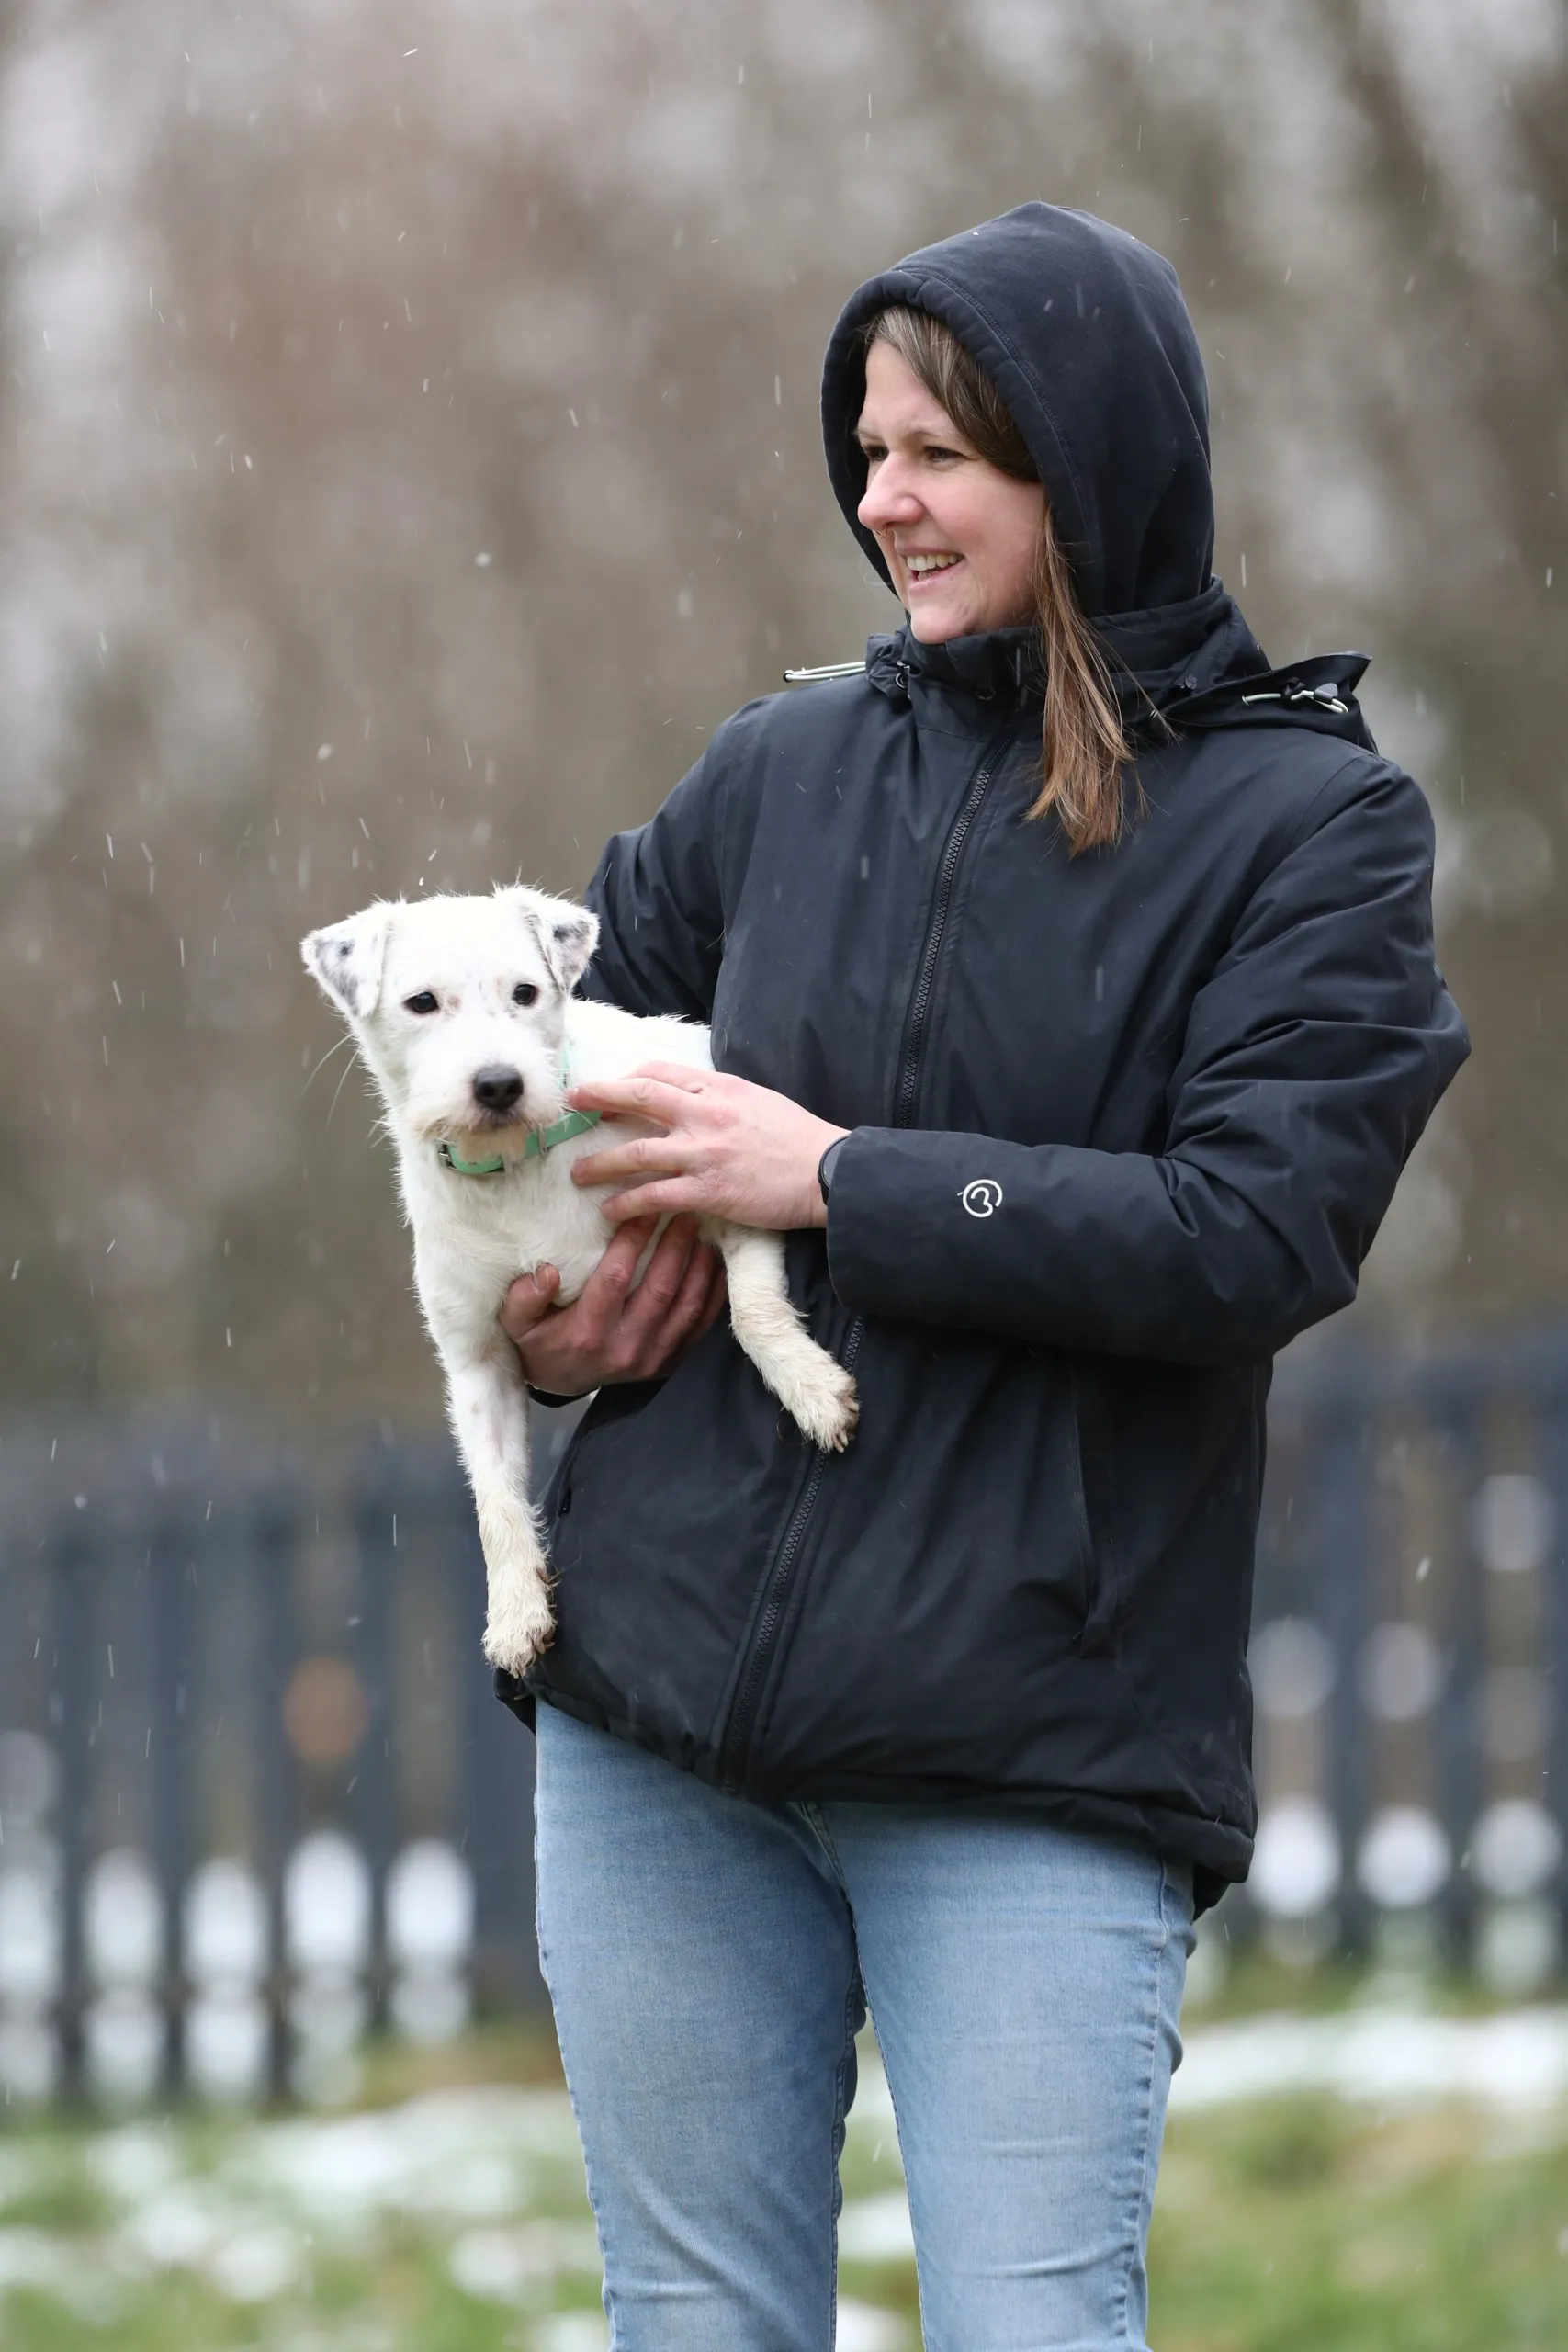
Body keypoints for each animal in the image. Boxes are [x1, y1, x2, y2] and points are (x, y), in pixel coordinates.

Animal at [299, 884, 851, 1674]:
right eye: (421, 1003)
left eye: (526, 993)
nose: (499, 1084)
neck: (518, 1164)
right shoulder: (478, 1358)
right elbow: (493, 1493)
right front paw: (516, 1611)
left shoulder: (724, 1175)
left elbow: (752, 1310)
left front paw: (811, 1389)